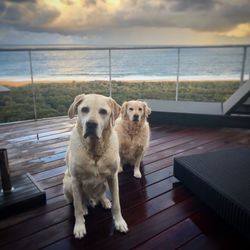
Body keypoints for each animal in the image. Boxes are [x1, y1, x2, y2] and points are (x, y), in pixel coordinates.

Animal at [63, 93, 128, 238]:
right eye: (84, 109)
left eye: (103, 111)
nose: (91, 124)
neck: (94, 151)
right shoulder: (75, 180)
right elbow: (77, 208)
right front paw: (79, 226)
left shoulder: (113, 177)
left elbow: (117, 204)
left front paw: (119, 222)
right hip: (68, 183)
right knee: (80, 201)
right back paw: (85, 207)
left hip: (105, 183)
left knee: (100, 195)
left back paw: (104, 201)